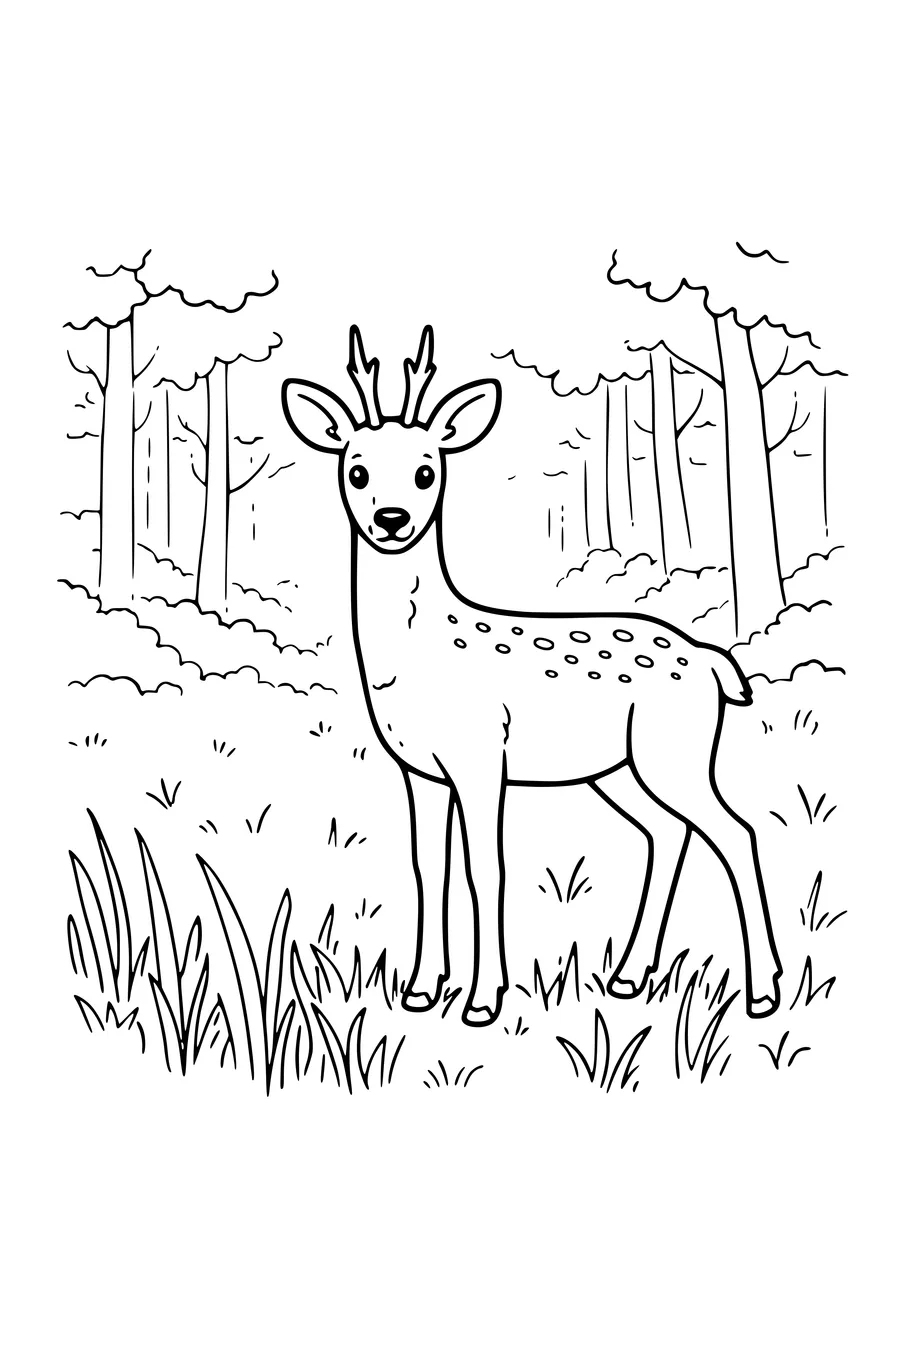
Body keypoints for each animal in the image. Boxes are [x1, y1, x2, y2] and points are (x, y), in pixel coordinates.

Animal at [282, 327, 782, 1027]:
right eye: (356, 470)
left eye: (427, 470)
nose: (391, 518)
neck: (417, 657)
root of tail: (712, 661)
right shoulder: (419, 770)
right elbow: (426, 867)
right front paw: (420, 990)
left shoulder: (481, 756)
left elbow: (484, 868)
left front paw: (482, 1000)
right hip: (618, 768)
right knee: (669, 833)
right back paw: (628, 977)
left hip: (673, 750)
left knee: (736, 831)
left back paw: (763, 991)